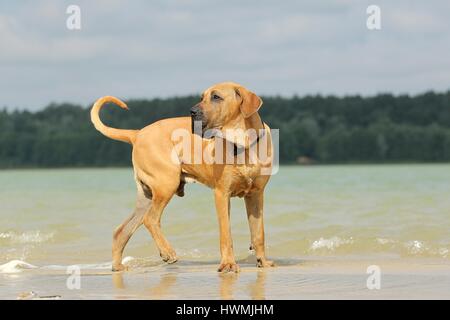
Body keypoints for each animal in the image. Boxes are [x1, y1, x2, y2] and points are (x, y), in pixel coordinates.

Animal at [90, 82, 274, 272]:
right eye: (202, 97)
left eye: (216, 97)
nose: (191, 111)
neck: (242, 143)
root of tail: (137, 134)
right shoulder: (221, 194)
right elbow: (226, 234)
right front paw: (228, 264)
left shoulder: (256, 195)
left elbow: (259, 233)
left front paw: (263, 262)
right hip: (166, 184)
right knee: (151, 219)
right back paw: (167, 252)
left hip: (146, 196)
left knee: (122, 231)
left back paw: (118, 266)